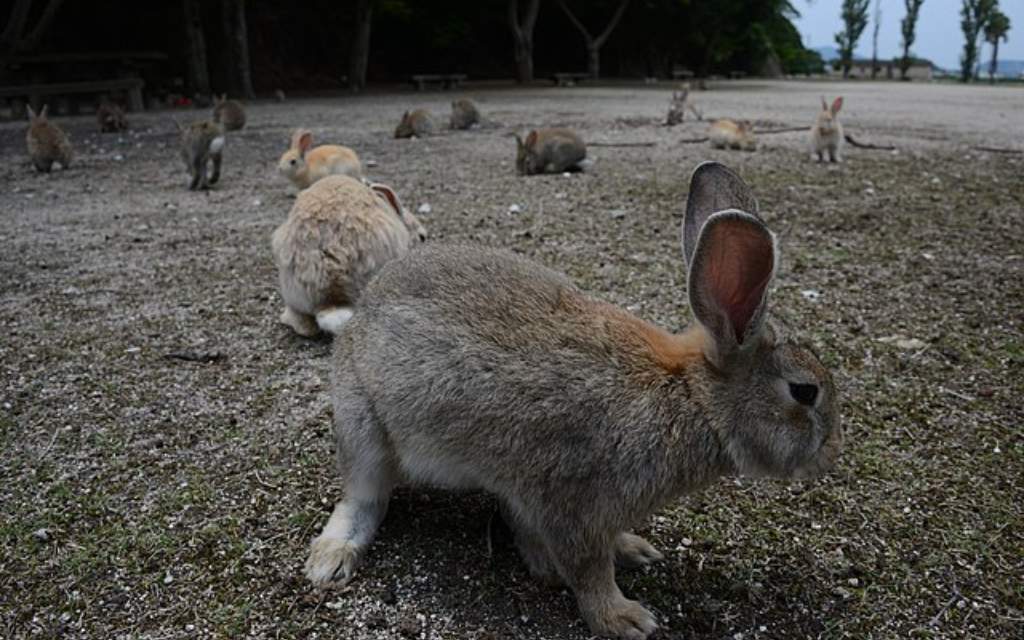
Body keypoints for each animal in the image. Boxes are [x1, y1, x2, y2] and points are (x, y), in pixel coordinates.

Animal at [303, 160, 839, 638]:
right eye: (804, 391)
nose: (830, 455)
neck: (690, 398)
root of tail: (361, 313)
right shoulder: (572, 501)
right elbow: (588, 569)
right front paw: (624, 619)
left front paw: (633, 550)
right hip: (364, 426)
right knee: (365, 497)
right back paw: (331, 560)